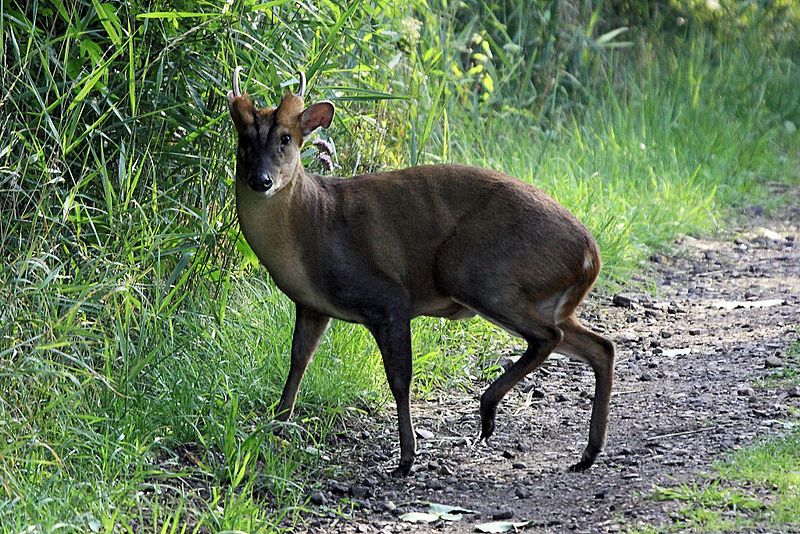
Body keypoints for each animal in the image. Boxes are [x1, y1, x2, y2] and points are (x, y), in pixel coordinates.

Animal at [226, 67, 615, 476]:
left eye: (286, 138)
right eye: (244, 139)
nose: (261, 180)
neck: (312, 225)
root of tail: (590, 254)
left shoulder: (386, 296)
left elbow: (399, 378)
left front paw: (407, 457)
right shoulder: (312, 305)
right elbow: (298, 361)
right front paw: (275, 427)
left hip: (476, 271)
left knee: (548, 336)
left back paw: (488, 412)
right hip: (543, 299)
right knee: (600, 345)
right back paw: (588, 453)